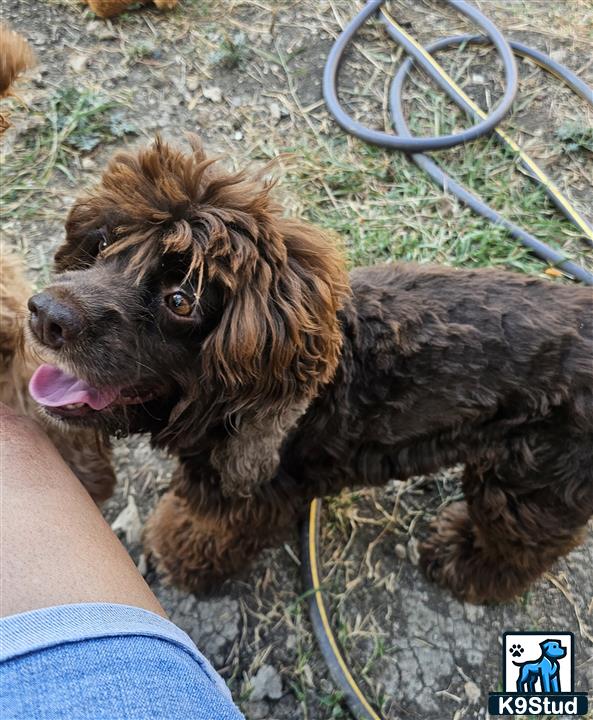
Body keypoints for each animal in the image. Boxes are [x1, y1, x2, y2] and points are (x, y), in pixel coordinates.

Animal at [25, 138, 592, 604]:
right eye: (102, 244)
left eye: (181, 299)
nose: (44, 314)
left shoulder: (247, 497)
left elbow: (207, 531)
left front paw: (179, 554)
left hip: (531, 485)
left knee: (517, 546)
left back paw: (461, 564)